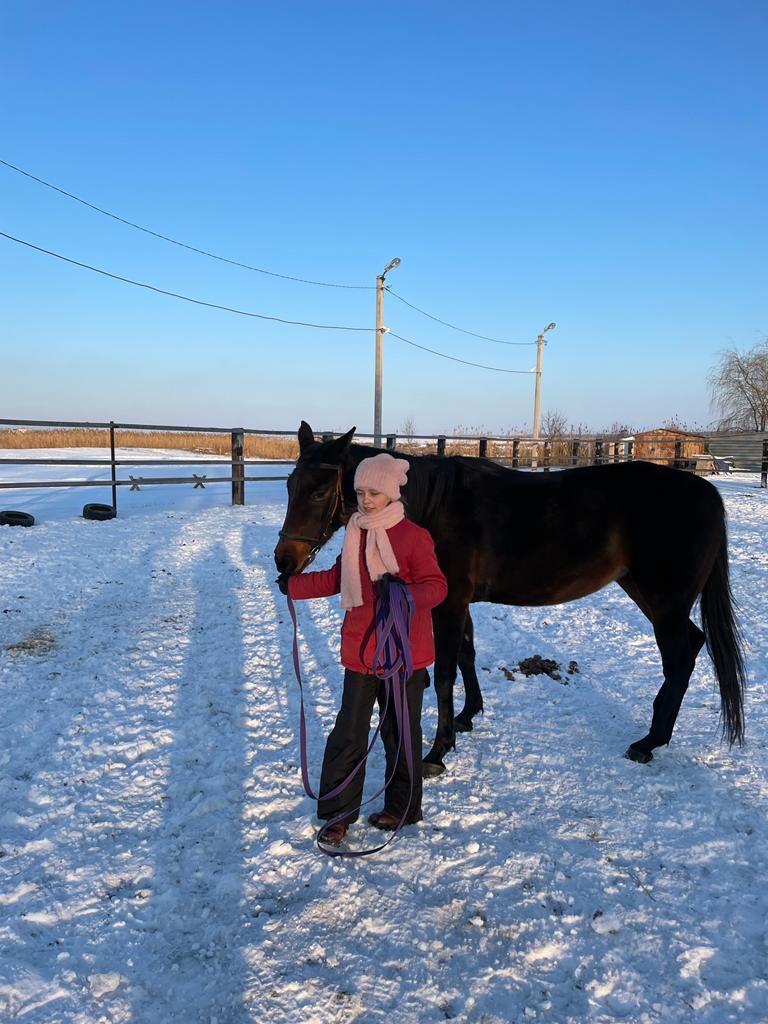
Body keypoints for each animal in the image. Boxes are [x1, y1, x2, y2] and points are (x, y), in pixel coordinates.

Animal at [275, 421, 745, 775]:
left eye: (319, 491)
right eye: (290, 484)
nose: (284, 560)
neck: (434, 505)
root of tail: (706, 493)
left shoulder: (448, 602)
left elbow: (444, 672)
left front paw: (438, 750)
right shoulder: (461, 604)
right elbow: (467, 655)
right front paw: (467, 716)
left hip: (665, 604)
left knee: (681, 658)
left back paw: (649, 742)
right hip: (649, 596)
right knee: (692, 646)